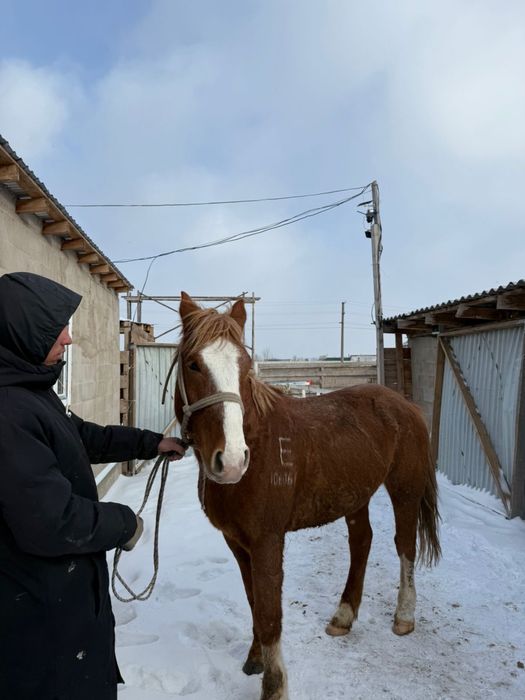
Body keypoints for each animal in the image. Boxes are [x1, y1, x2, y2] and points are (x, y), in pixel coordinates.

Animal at [174, 292, 441, 700]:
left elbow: (269, 613)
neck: (258, 443)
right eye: (193, 364)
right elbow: (253, 600)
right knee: (362, 541)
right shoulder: (236, 542)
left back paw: (404, 617)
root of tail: (404, 404)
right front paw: (255, 660)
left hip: (404, 491)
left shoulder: (267, 541)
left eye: (245, 367)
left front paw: (274, 685)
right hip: (355, 495)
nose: (231, 460)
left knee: (405, 545)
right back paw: (343, 616)